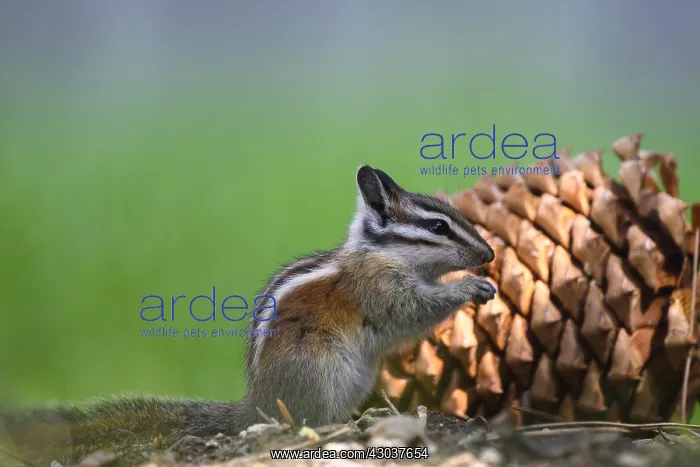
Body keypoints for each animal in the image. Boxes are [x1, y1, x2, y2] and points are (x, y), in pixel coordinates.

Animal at [0, 166, 495, 465]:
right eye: (438, 226)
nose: (489, 254)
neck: (380, 253)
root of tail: (255, 405)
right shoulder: (381, 291)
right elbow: (414, 311)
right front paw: (471, 287)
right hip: (323, 370)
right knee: (305, 421)